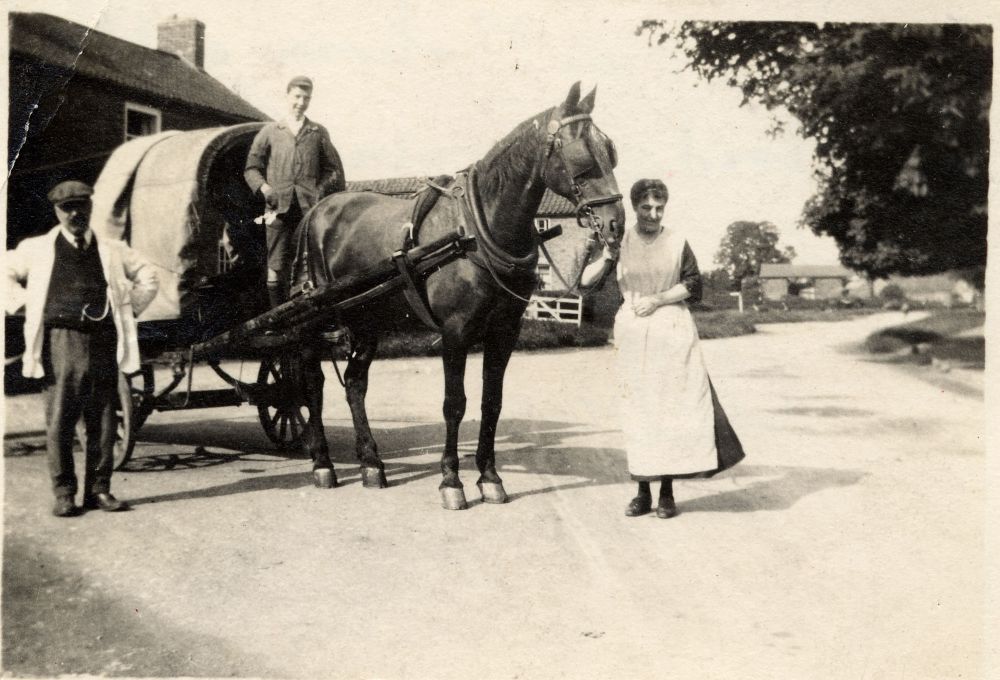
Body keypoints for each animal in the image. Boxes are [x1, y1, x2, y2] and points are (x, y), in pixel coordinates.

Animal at [288, 82, 624, 510]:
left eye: (609, 150)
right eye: (580, 154)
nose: (616, 225)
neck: (475, 232)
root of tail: (316, 211)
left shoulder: (504, 332)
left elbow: (491, 403)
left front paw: (490, 477)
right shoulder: (455, 332)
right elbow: (455, 404)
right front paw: (452, 481)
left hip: (367, 321)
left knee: (354, 384)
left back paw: (372, 464)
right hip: (316, 321)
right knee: (312, 383)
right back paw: (323, 463)